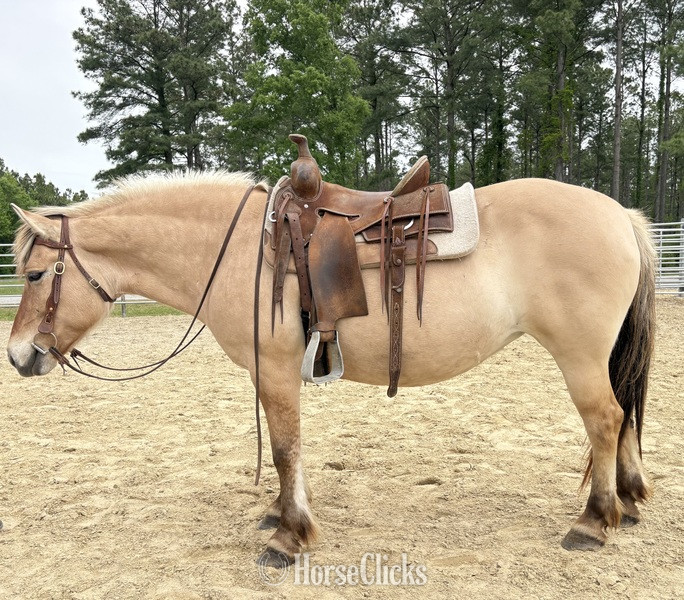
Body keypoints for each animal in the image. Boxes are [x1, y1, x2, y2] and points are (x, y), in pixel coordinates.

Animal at [6, 171, 655, 565]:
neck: (238, 250)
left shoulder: (276, 372)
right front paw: (278, 514)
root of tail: (620, 214)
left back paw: (593, 521)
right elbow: (285, 449)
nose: (17, 356)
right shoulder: (267, 374)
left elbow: (285, 448)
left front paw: (290, 535)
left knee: (604, 419)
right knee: (622, 416)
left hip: (578, 357)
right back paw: (628, 501)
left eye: (35, 274)